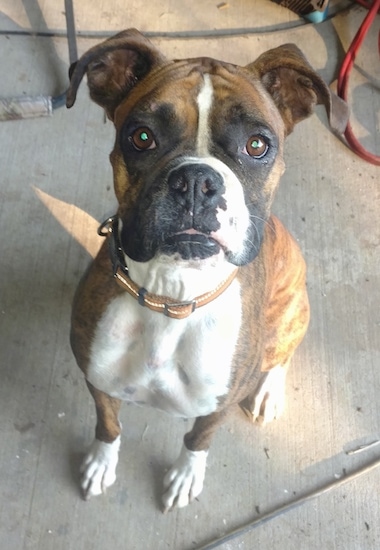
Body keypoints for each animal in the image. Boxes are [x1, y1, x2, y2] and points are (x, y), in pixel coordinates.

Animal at [66, 29, 348, 512]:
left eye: (257, 145)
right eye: (141, 136)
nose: (196, 181)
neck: (173, 295)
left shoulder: (218, 404)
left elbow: (198, 438)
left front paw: (185, 476)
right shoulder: (97, 381)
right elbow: (108, 425)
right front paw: (102, 462)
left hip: (290, 316)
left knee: (281, 353)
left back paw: (268, 391)